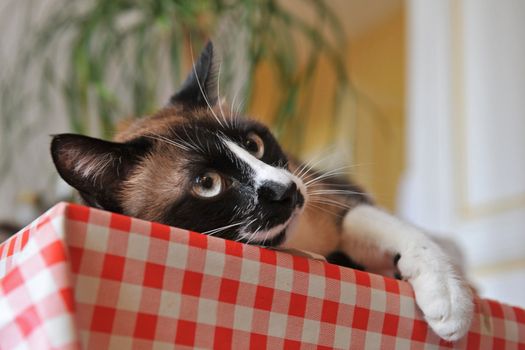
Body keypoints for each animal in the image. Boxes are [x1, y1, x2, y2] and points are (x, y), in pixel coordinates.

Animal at [51, 41, 472, 342]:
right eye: (207, 183)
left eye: (253, 144)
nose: (286, 190)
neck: (298, 243)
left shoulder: (333, 200)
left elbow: (398, 232)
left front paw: (451, 302)